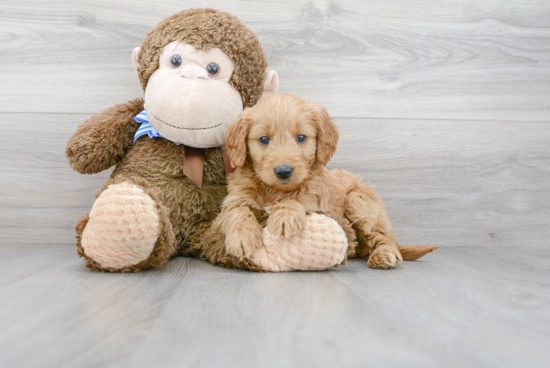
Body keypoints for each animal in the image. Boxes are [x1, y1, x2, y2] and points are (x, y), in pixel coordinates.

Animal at [192, 93, 438, 268]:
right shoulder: (231, 204)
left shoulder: (321, 205)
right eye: (263, 140)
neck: (275, 191)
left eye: (301, 138)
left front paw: (285, 215)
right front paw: (242, 238)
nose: (283, 171)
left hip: (360, 201)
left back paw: (385, 255)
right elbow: (238, 211)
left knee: (384, 238)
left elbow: (300, 200)